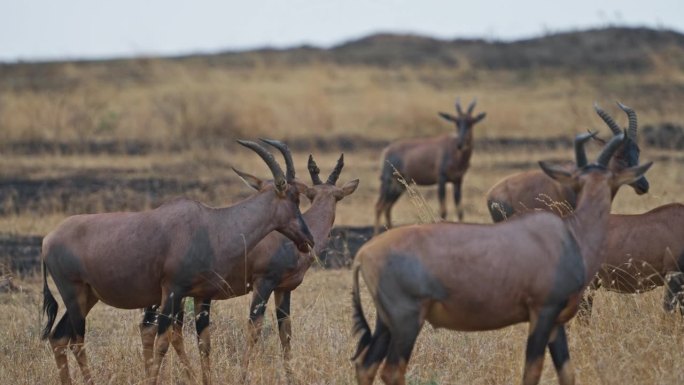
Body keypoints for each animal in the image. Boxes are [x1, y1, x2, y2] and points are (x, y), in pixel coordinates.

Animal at [40, 140, 312, 384]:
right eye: (294, 198)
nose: (307, 240)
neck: (210, 225)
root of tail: (47, 239)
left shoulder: (201, 295)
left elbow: (204, 343)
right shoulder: (172, 291)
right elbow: (162, 342)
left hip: (88, 296)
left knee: (59, 338)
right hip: (73, 292)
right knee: (76, 341)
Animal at [142, 141, 360, 384]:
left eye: (335, 195)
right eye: (310, 194)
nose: (309, 241)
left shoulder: (284, 289)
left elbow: (286, 333)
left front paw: (291, 377)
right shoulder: (263, 283)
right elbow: (254, 329)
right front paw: (243, 376)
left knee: (154, 329)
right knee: (165, 331)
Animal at [352, 133, 652, 384]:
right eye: (619, 162)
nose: (642, 186)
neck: (568, 234)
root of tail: (363, 254)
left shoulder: (556, 322)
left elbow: (567, 373)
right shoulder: (542, 312)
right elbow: (532, 371)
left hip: (385, 322)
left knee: (366, 366)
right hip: (407, 321)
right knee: (391, 371)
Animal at [374, 97, 486, 232]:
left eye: (471, 122)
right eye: (456, 122)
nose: (460, 144)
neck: (453, 151)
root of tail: (387, 150)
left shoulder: (458, 181)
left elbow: (460, 211)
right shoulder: (441, 179)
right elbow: (443, 211)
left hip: (399, 186)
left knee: (387, 207)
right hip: (389, 183)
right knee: (379, 206)